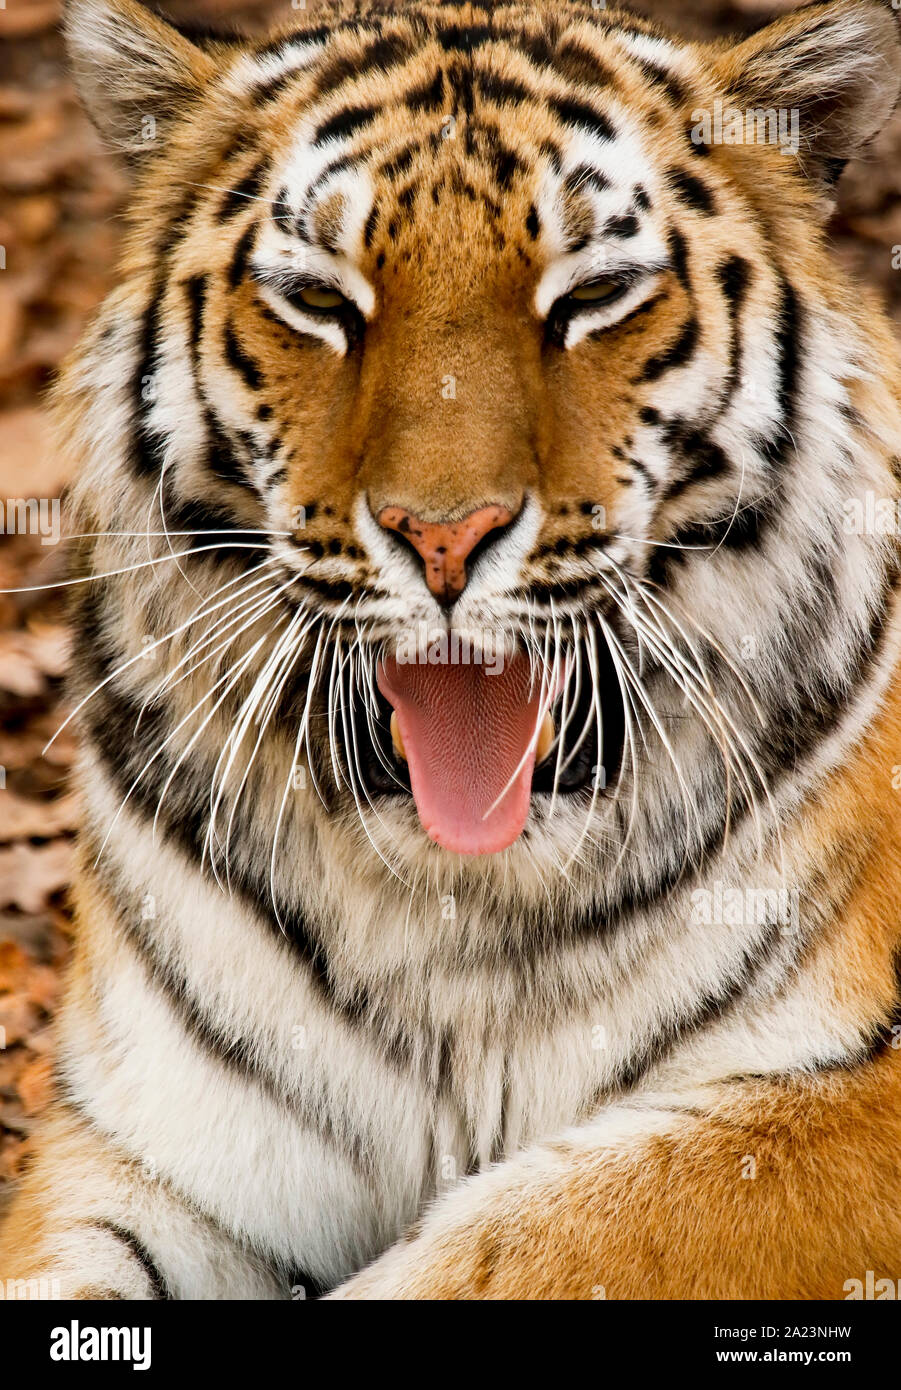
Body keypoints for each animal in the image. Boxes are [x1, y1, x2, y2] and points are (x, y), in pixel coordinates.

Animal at [1, 0, 901, 1301]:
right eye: (319, 299)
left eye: (596, 293)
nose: (441, 536)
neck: (454, 908)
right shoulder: (156, 1149)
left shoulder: (842, 1105)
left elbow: (525, 1239)